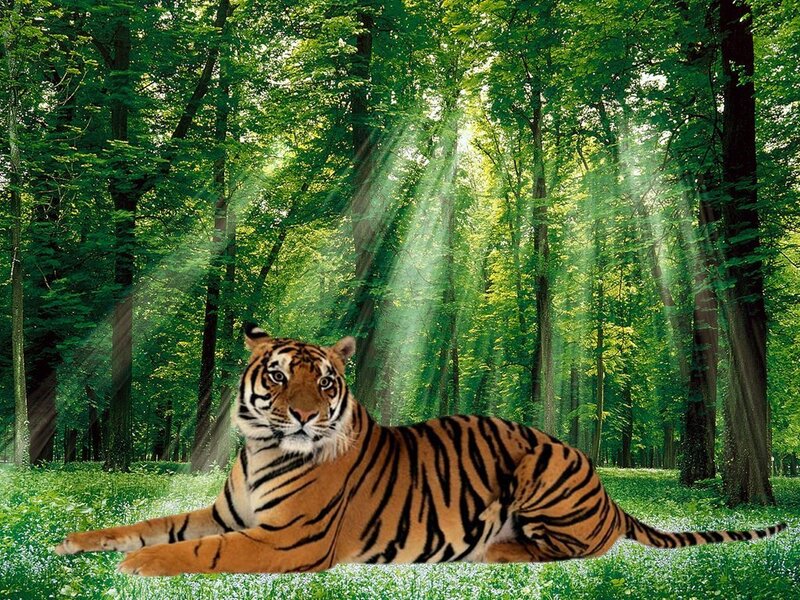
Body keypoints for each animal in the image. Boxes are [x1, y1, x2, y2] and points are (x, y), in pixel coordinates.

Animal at [54, 325, 787, 576]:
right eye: (278, 376)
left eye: (325, 382)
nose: (305, 415)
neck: (261, 450)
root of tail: (605, 487)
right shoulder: (227, 514)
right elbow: (154, 524)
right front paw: (76, 542)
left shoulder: (285, 539)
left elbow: (195, 550)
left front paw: (135, 568)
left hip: (541, 467)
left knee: (579, 547)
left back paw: (497, 549)